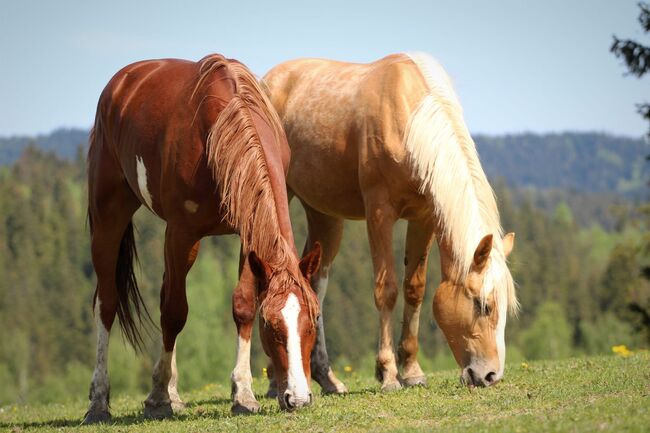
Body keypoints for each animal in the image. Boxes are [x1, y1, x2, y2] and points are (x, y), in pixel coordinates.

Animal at [83, 53, 322, 422]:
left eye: (314, 319)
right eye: (271, 325)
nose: (297, 398)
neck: (221, 133)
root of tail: (122, 82)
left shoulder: (248, 236)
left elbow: (242, 305)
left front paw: (243, 394)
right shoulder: (180, 232)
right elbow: (174, 312)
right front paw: (159, 398)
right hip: (109, 216)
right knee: (106, 303)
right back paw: (99, 402)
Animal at [262, 53, 516, 392]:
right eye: (481, 304)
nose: (490, 376)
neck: (409, 118)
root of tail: (266, 80)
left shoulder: (424, 217)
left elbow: (414, 289)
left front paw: (411, 370)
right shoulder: (379, 212)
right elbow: (387, 290)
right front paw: (388, 373)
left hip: (325, 216)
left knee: (314, 284)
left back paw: (326, 378)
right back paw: (274, 381)